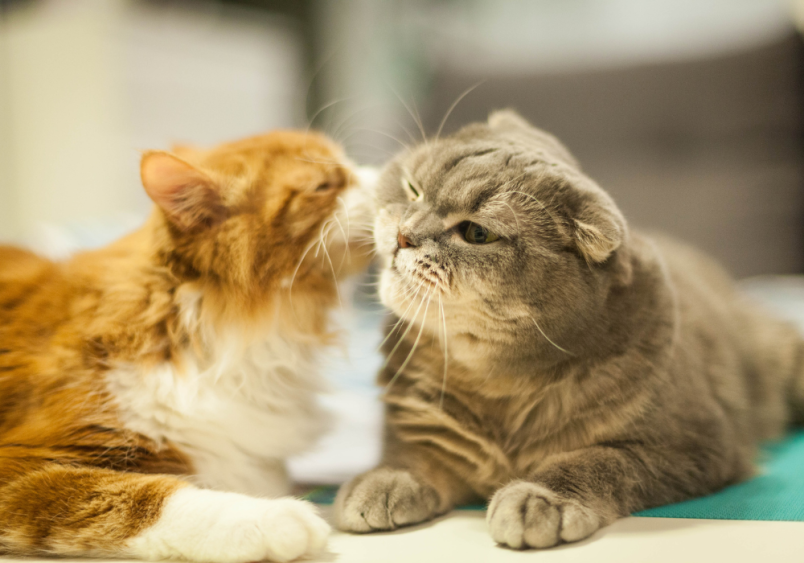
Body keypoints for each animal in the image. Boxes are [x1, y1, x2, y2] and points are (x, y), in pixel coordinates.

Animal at [332, 111, 804, 552]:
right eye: (412, 189)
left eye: (476, 232)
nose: (402, 236)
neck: (497, 383)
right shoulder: (422, 427)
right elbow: (409, 454)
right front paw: (382, 480)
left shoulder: (695, 444)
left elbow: (596, 461)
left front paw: (539, 498)